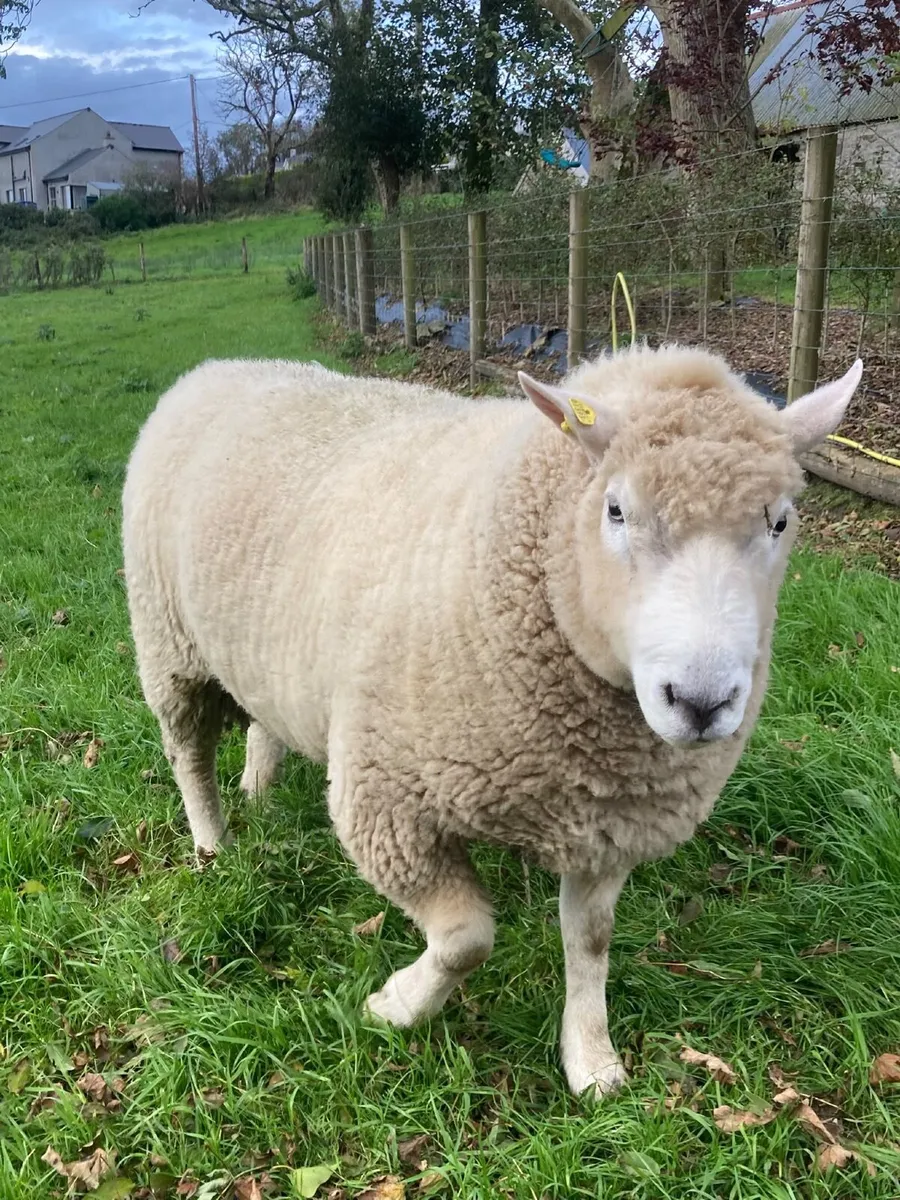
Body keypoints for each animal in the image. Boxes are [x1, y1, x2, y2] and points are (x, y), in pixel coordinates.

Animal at [121, 344, 862, 1099]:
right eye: (616, 510)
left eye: (780, 522)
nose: (702, 703)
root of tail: (220, 365)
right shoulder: (388, 803)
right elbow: (466, 940)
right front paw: (395, 1006)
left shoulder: (608, 827)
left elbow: (589, 942)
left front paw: (591, 1058)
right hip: (168, 640)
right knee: (187, 752)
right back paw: (213, 844)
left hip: (266, 654)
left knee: (263, 720)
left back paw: (260, 789)